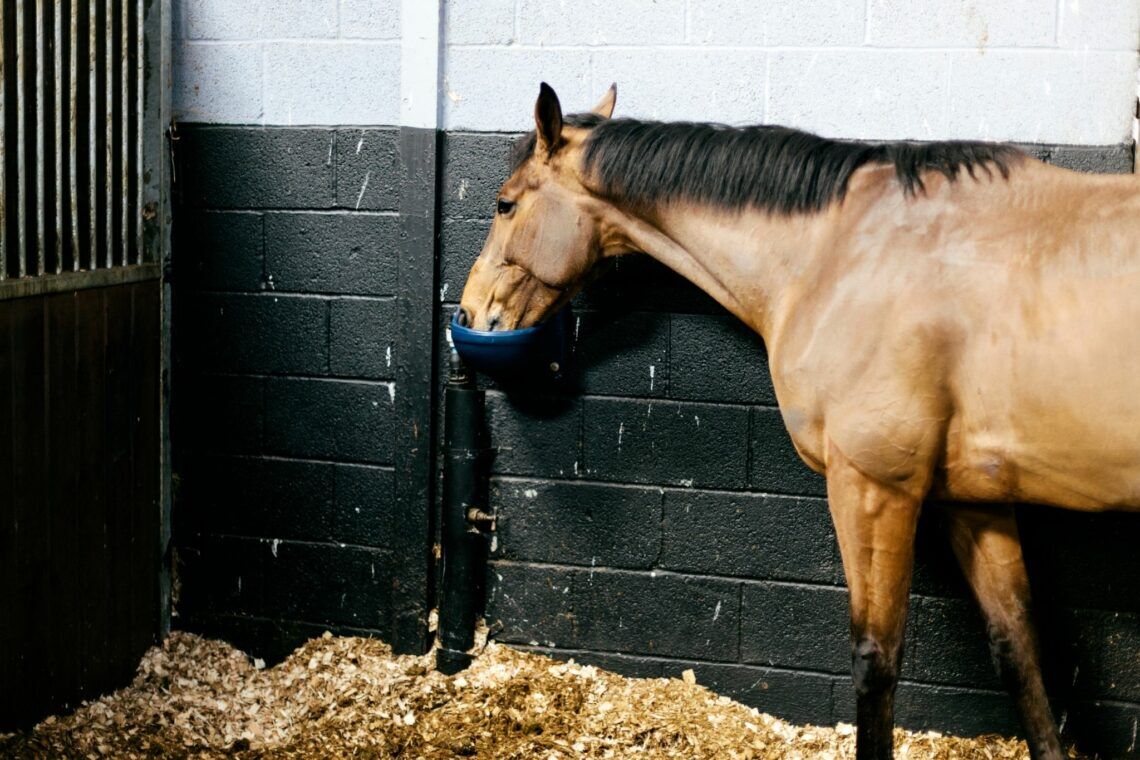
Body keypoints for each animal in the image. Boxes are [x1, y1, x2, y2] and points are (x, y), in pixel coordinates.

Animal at [453, 83, 1140, 760]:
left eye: (505, 204)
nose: (469, 312)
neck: (841, 253)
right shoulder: (975, 499)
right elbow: (1016, 646)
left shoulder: (872, 487)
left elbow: (875, 662)